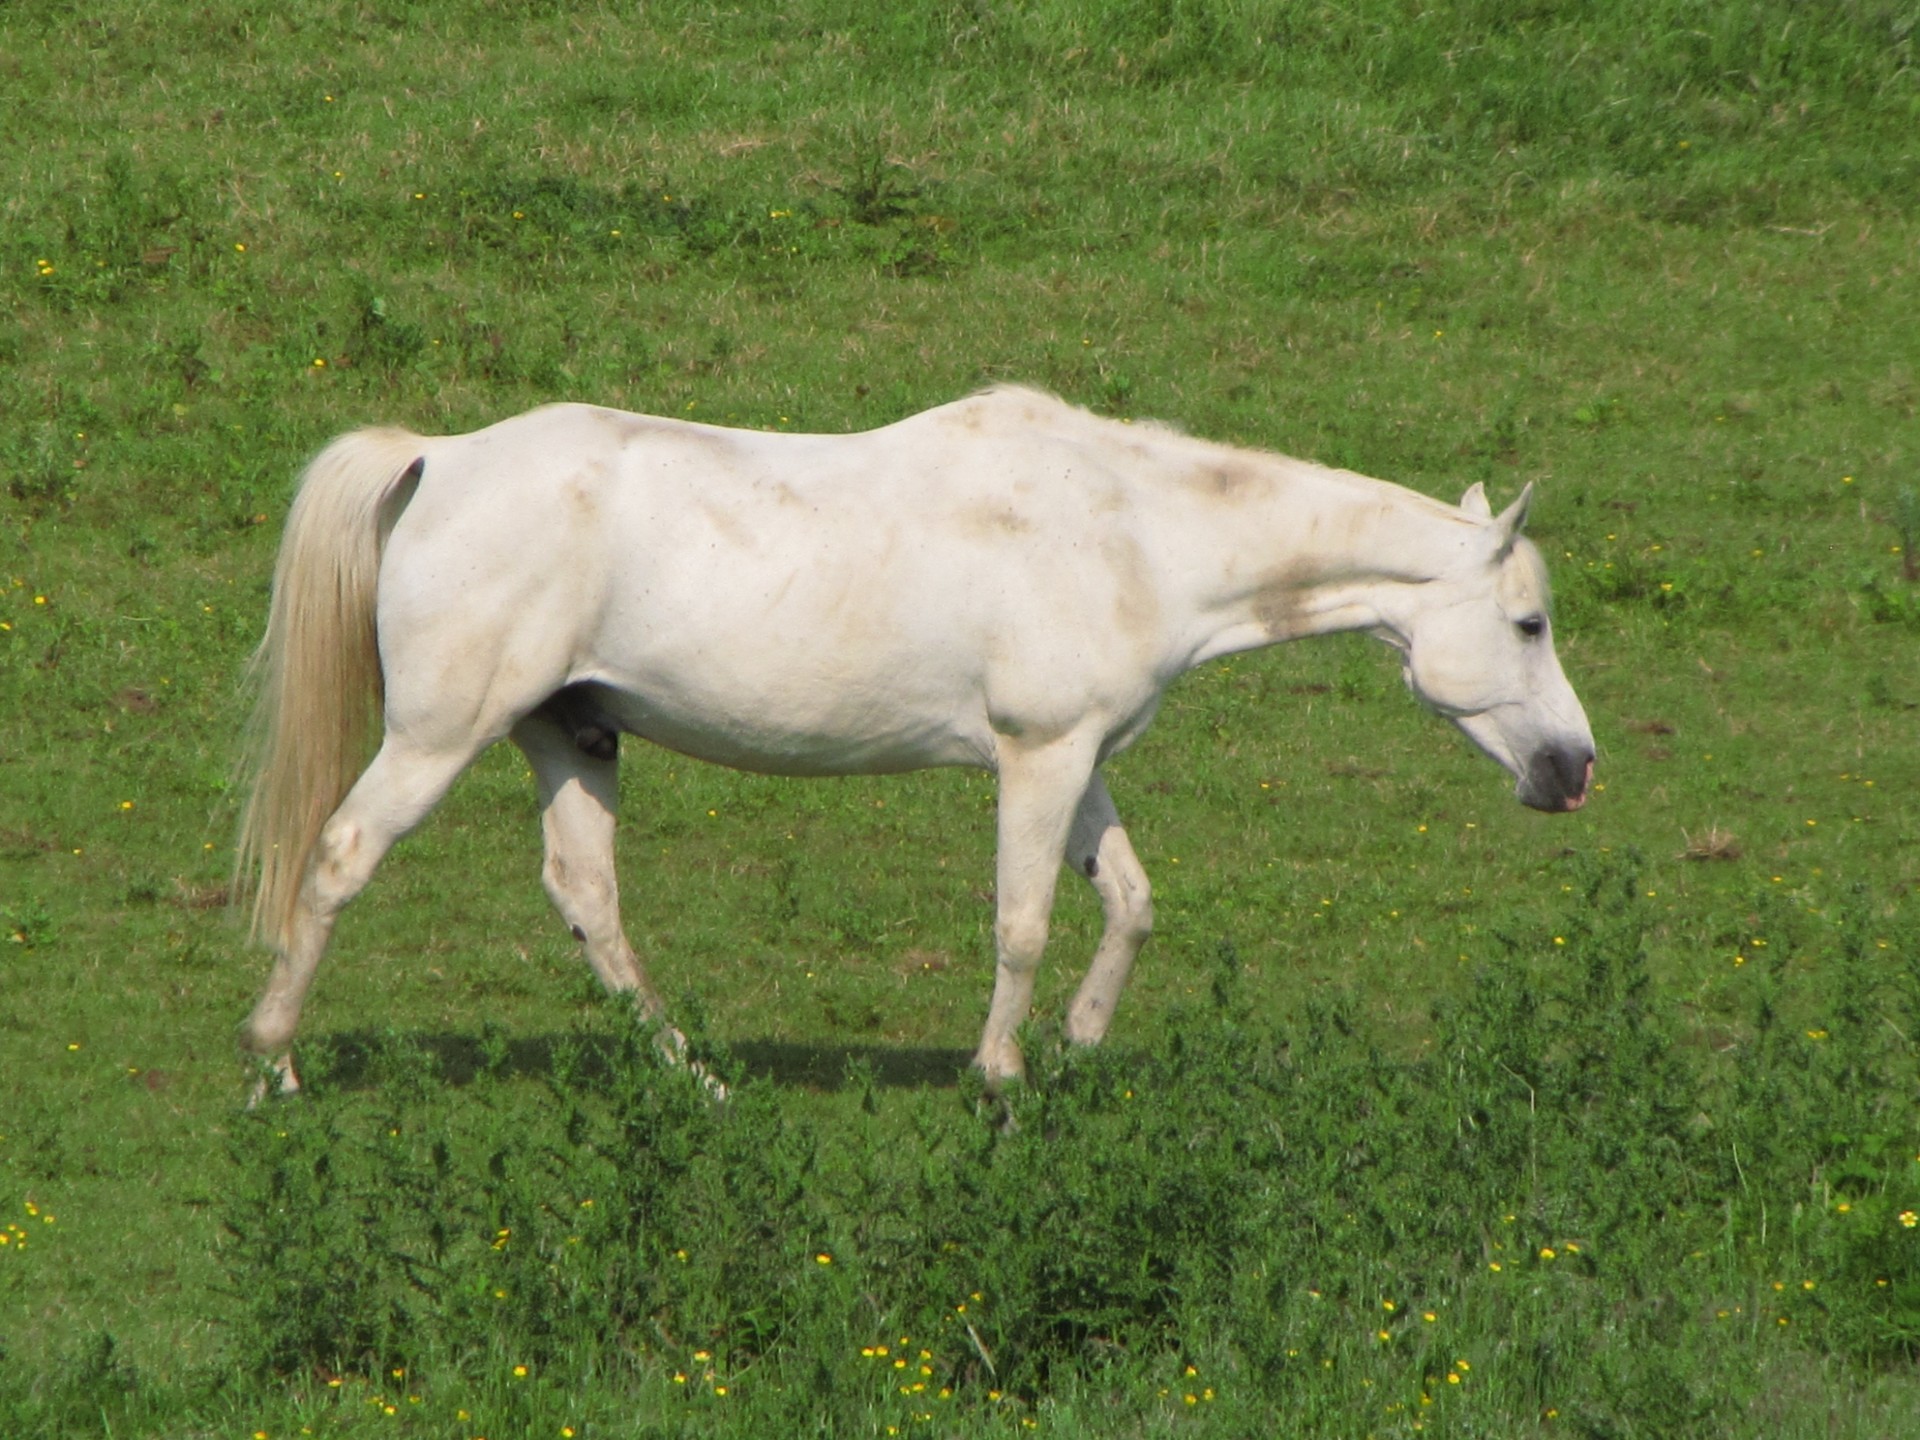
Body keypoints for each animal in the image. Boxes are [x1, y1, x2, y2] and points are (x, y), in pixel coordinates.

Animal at [236, 389, 1589, 1098]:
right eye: (1529, 623)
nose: (1573, 771)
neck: (1130, 533)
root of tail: (439, 458)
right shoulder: (1038, 759)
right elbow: (1024, 923)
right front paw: (999, 1079)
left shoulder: (1080, 760)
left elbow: (1131, 904)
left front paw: (1078, 1046)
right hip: (439, 736)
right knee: (341, 858)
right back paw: (275, 1064)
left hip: (572, 738)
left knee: (588, 901)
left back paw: (699, 1079)